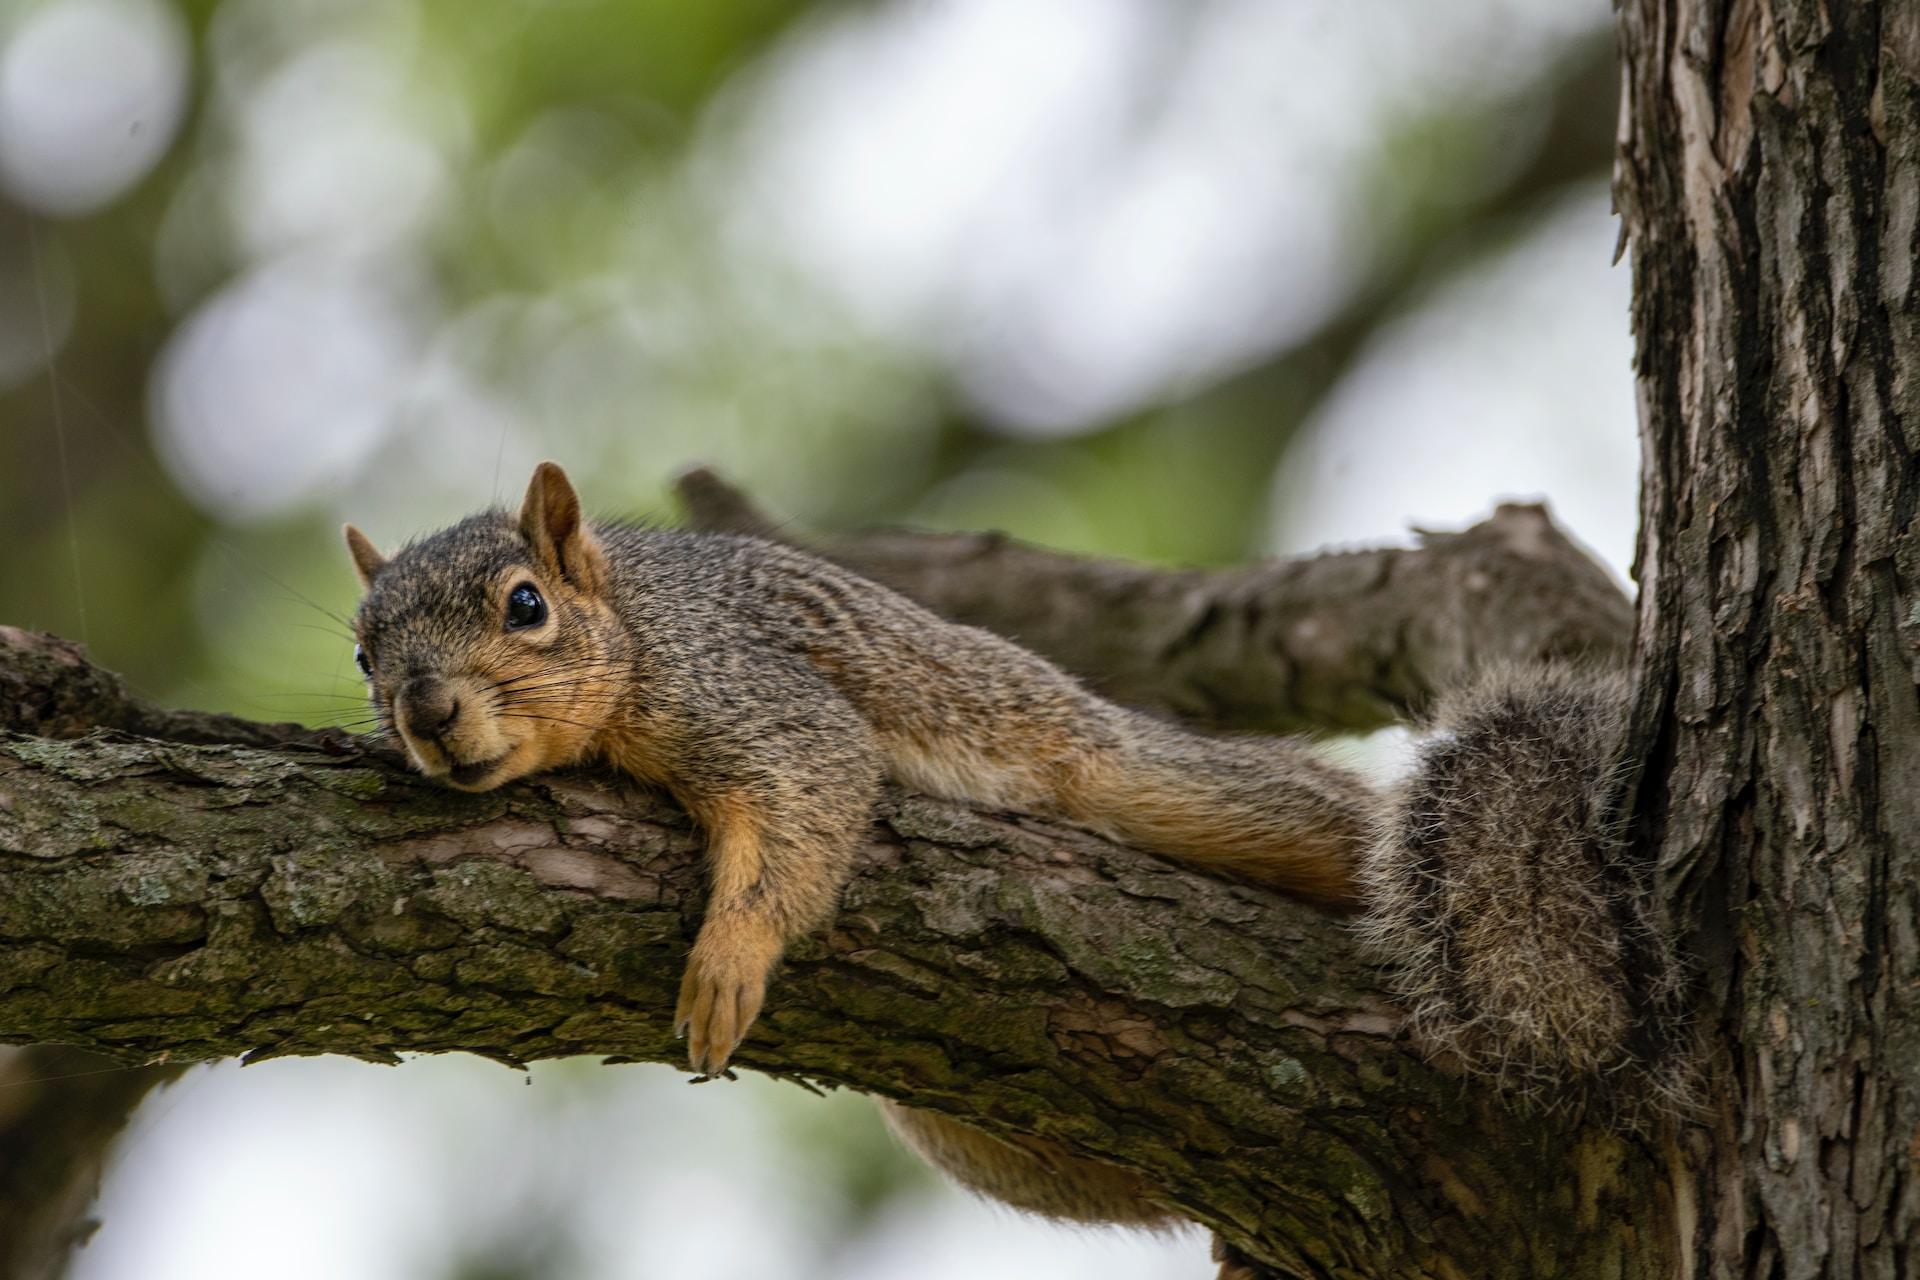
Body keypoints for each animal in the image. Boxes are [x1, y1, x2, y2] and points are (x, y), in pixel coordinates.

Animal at [341, 462, 1681, 1274]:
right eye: (362, 653)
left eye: (525, 606)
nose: (427, 713)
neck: (634, 627)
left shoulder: (755, 696)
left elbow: (805, 794)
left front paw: (728, 961)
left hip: (1132, 773)